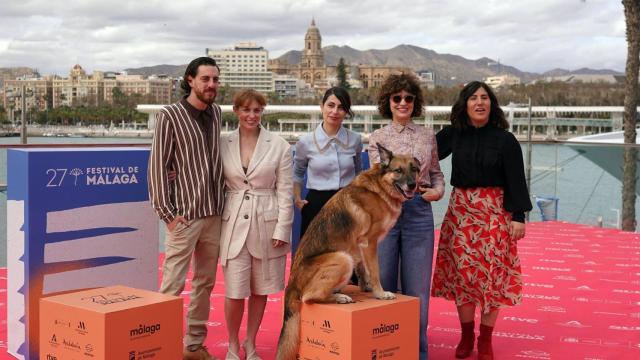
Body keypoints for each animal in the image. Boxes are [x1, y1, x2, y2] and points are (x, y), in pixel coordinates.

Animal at [276, 144, 420, 360]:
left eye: (414, 169)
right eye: (398, 170)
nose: (412, 185)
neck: (379, 188)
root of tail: (290, 284)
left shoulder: (359, 247)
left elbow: (364, 270)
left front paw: (366, 286)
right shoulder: (370, 243)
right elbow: (375, 271)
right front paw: (380, 293)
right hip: (343, 258)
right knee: (308, 297)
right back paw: (339, 298)